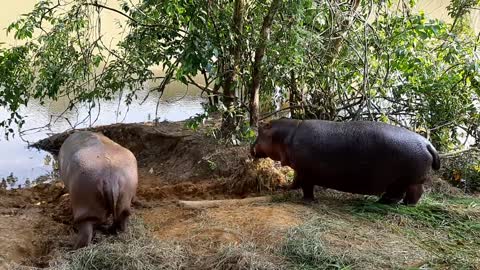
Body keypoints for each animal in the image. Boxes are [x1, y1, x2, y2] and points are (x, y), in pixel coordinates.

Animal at [251, 118, 442, 205]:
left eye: (260, 132)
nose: (251, 148)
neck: (286, 135)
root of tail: (428, 144)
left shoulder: (306, 171)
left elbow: (306, 187)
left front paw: (307, 200)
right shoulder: (300, 169)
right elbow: (296, 182)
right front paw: (285, 188)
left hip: (404, 181)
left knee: (406, 194)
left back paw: (389, 203)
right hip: (408, 181)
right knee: (411, 194)